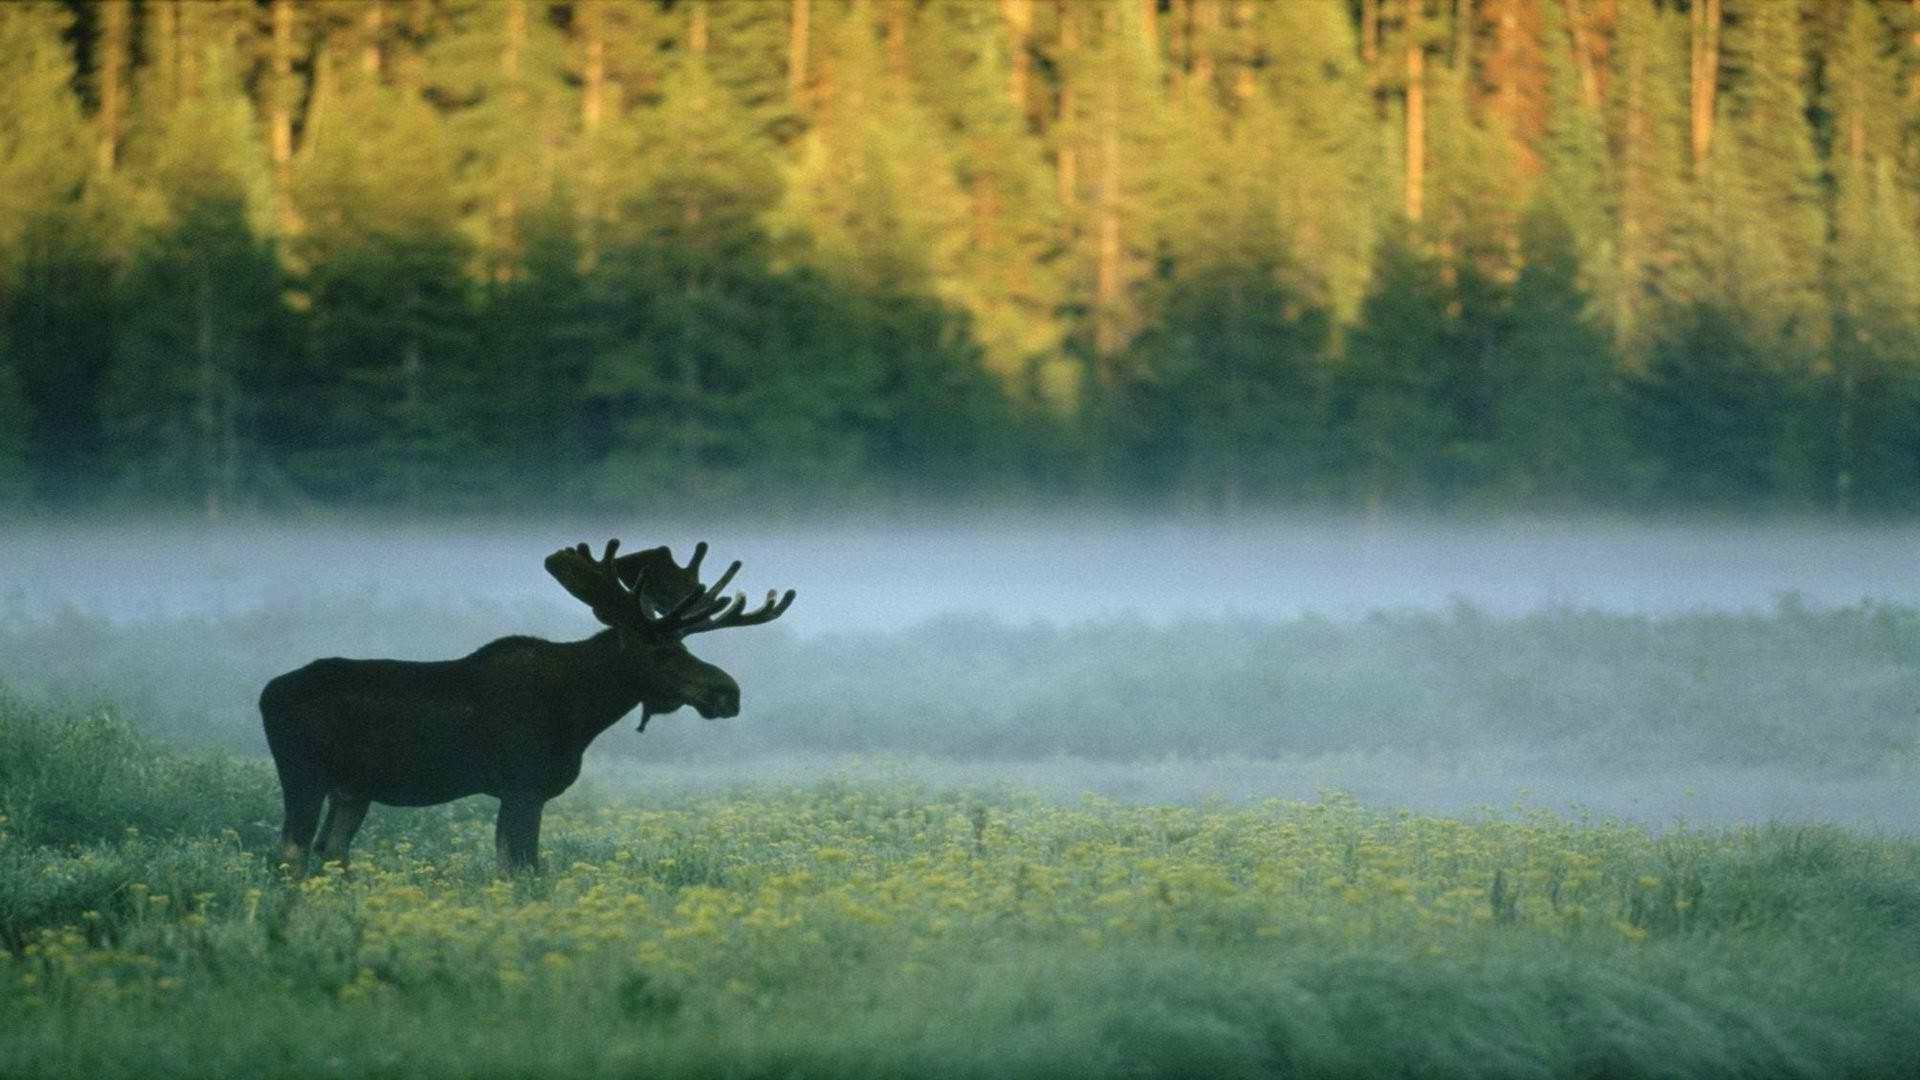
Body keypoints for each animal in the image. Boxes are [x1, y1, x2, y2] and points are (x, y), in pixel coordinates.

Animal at [259, 540, 794, 876]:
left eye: (684, 645)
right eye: (660, 651)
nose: (728, 693)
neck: (583, 711)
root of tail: (265, 695)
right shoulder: (523, 785)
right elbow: (520, 869)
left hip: (353, 789)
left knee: (331, 848)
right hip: (304, 773)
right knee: (290, 850)